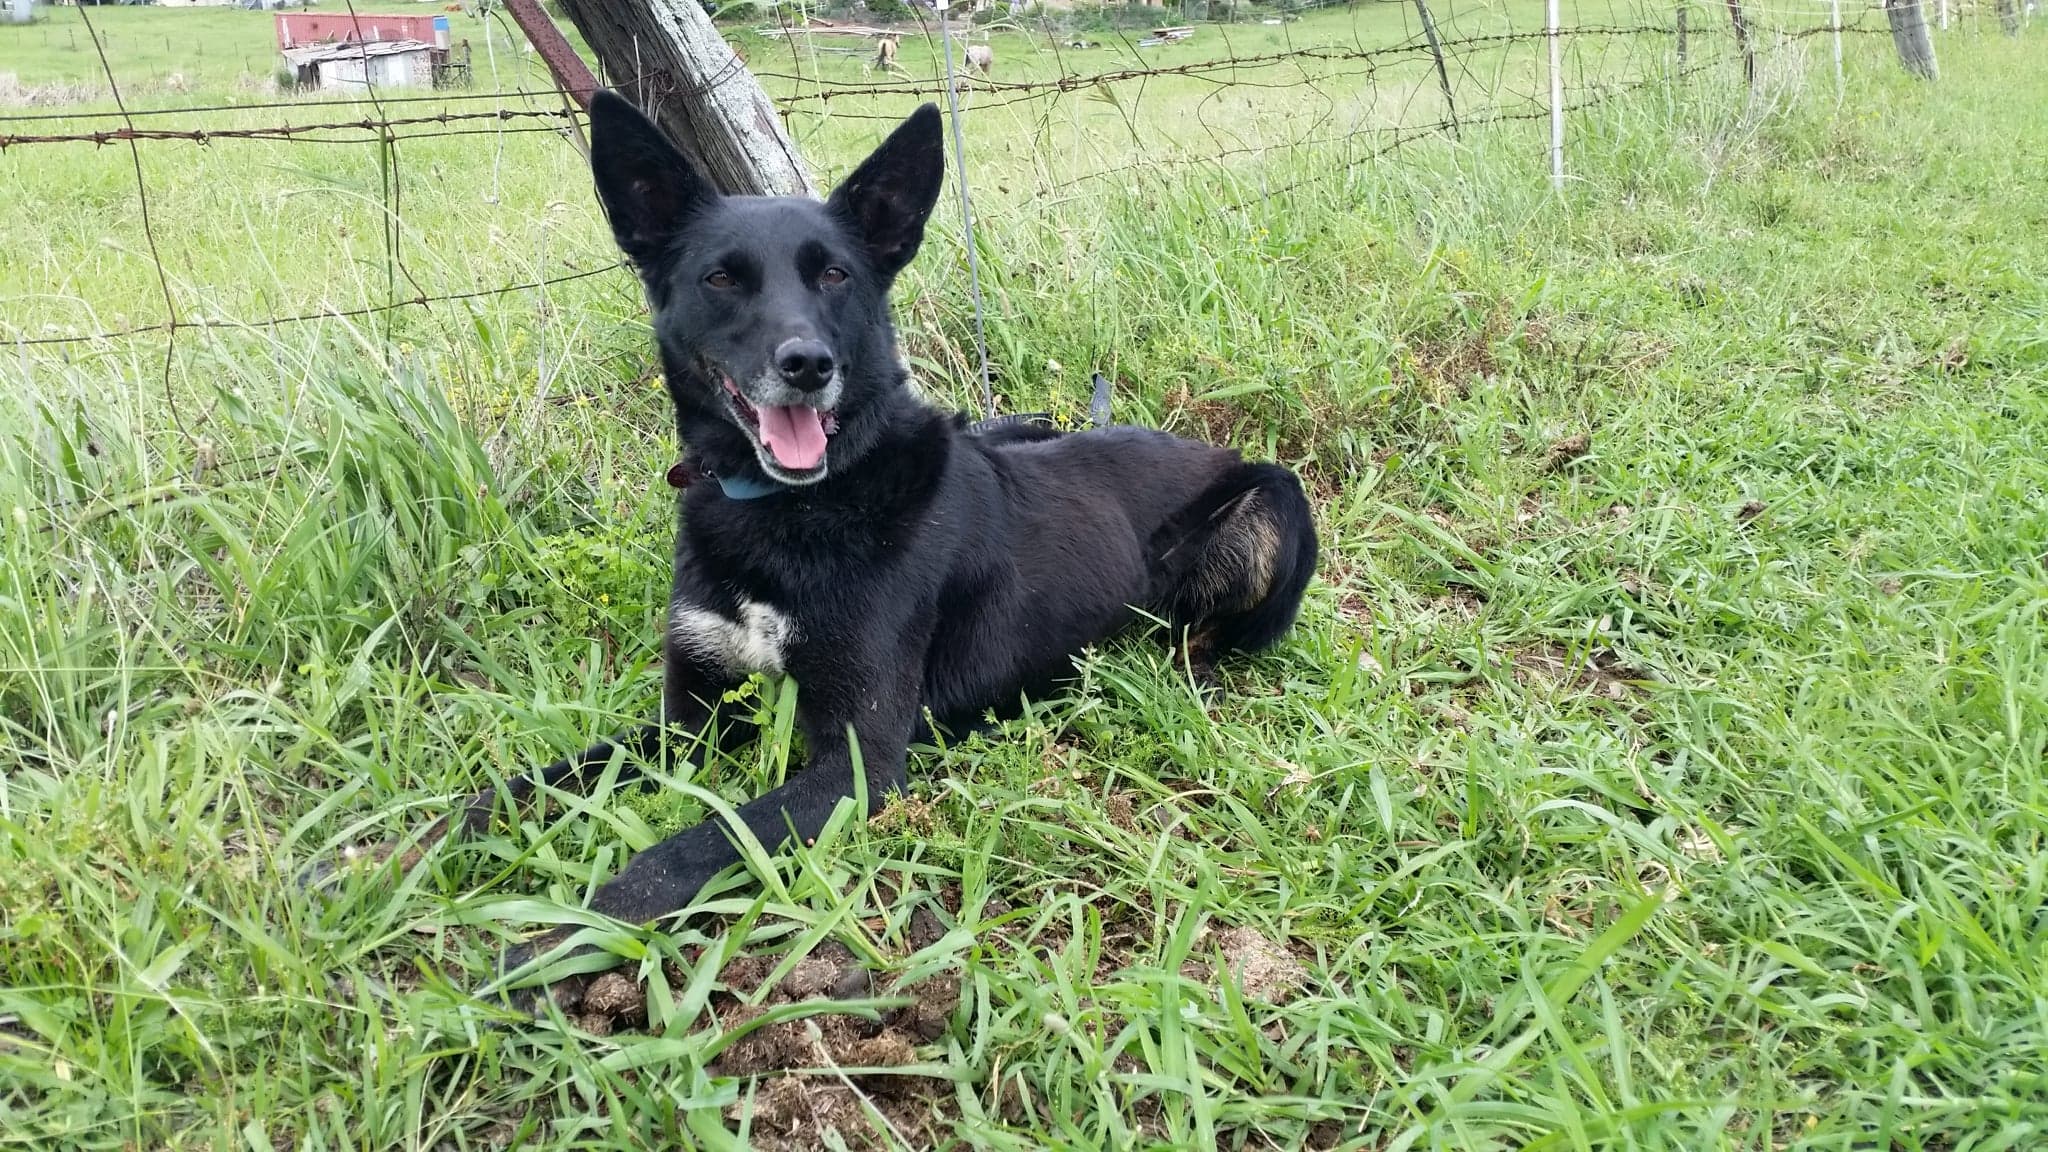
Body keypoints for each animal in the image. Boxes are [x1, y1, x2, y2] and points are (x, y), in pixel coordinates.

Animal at [442, 91, 1318, 1004]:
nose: (807, 364)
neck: (794, 508)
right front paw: (409, 847)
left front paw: (546, 945)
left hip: (1277, 502)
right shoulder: (690, 723)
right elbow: (531, 783)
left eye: (836, 276)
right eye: (721, 278)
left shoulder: (854, 765)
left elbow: (680, 853)